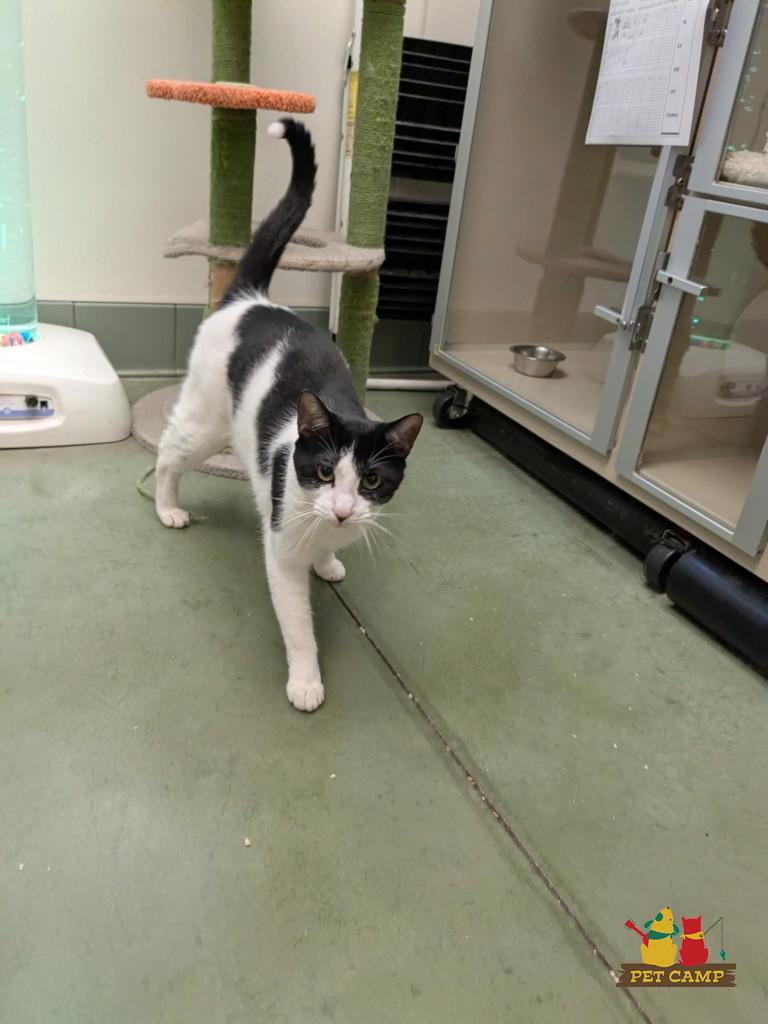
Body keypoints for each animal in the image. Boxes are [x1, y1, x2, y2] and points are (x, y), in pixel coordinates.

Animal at [154, 118, 423, 712]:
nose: (343, 510)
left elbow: (327, 555)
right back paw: (167, 508)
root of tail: (248, 299)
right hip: (204, 421)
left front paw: (329, 563)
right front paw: (305, 680)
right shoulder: (281, 553)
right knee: (167, 450)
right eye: (323, 471)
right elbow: (298, 626)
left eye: (371, 481)